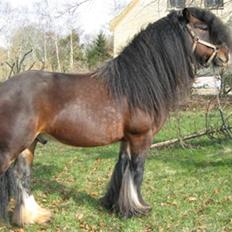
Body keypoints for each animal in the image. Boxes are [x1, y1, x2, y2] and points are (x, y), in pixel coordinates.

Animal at [0, 8, 231, 226]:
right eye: (202, 27)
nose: (225, 55)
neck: (135, 85)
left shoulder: (127, 139)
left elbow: (123, 169)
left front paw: (118, 206)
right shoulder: (141, 137)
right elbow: (137, 171)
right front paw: (139, 210)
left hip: (29, 144)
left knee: (22, 176)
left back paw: (33, 216)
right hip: (11, 148)